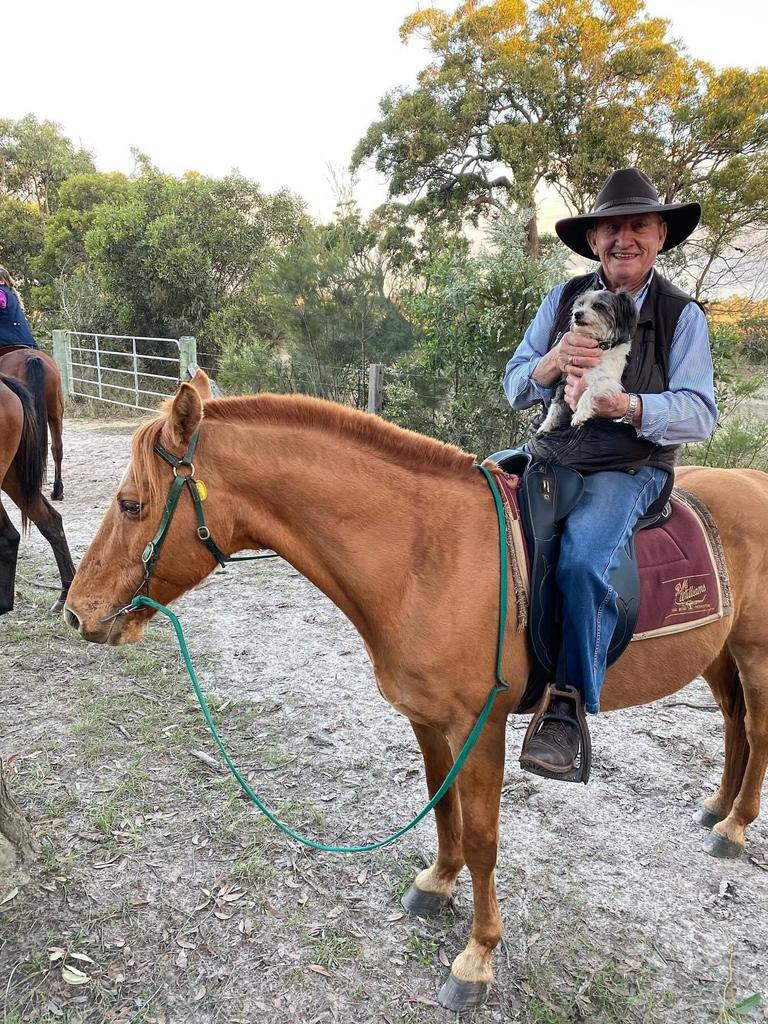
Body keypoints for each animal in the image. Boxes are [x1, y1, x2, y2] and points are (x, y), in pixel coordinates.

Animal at [63, 372, 768, 1011]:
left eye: (131, 505)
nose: (76, 613)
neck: (427, 555)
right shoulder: (429, 720)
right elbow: (440, 804)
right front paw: (437, 884)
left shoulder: (481, 727)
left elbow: (483, 839)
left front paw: (477, 958)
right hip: (718, 654)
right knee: (733, 723)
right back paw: (717, 806)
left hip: (755, 653)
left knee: (757, 731)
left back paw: (735, 828)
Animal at [536, 286, 638, 434]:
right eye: (580, 304)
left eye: (598, 306)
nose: (577, 314)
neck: (597, 342)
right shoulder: (565, 380)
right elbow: (556, 403)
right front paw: (547, 424)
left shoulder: (610, 381)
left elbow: (589, 390)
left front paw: (580, 414)